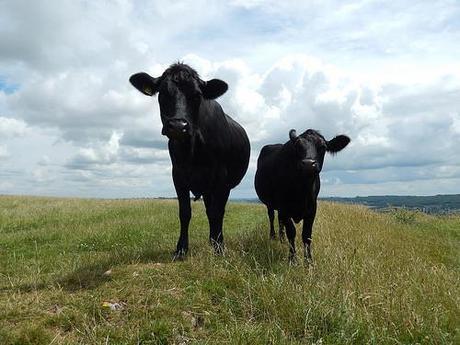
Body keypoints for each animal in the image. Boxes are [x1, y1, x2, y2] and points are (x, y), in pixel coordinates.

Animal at [129, 63, 250, 256]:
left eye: (197, 95)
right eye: (162, 94)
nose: (178, 126)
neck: (194, 149)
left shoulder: (221, 178)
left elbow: (217, 213)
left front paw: (219, 249)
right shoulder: (178, 174)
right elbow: (185, 213)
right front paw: (181, 249)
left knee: (217, 212)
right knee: (209, 210)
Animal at [255, 128, 348, 260]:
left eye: (323, 147)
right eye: (298, 147)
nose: (308, 164)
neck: (302, 190)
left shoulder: (312, 208)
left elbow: (307, 235)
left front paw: (309, 260)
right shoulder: (284, 207)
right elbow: (291, 232)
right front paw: (292, 258)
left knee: (279, 220)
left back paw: (282, 239)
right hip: (270, 203)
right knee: (272, 216)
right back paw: (273, 236)